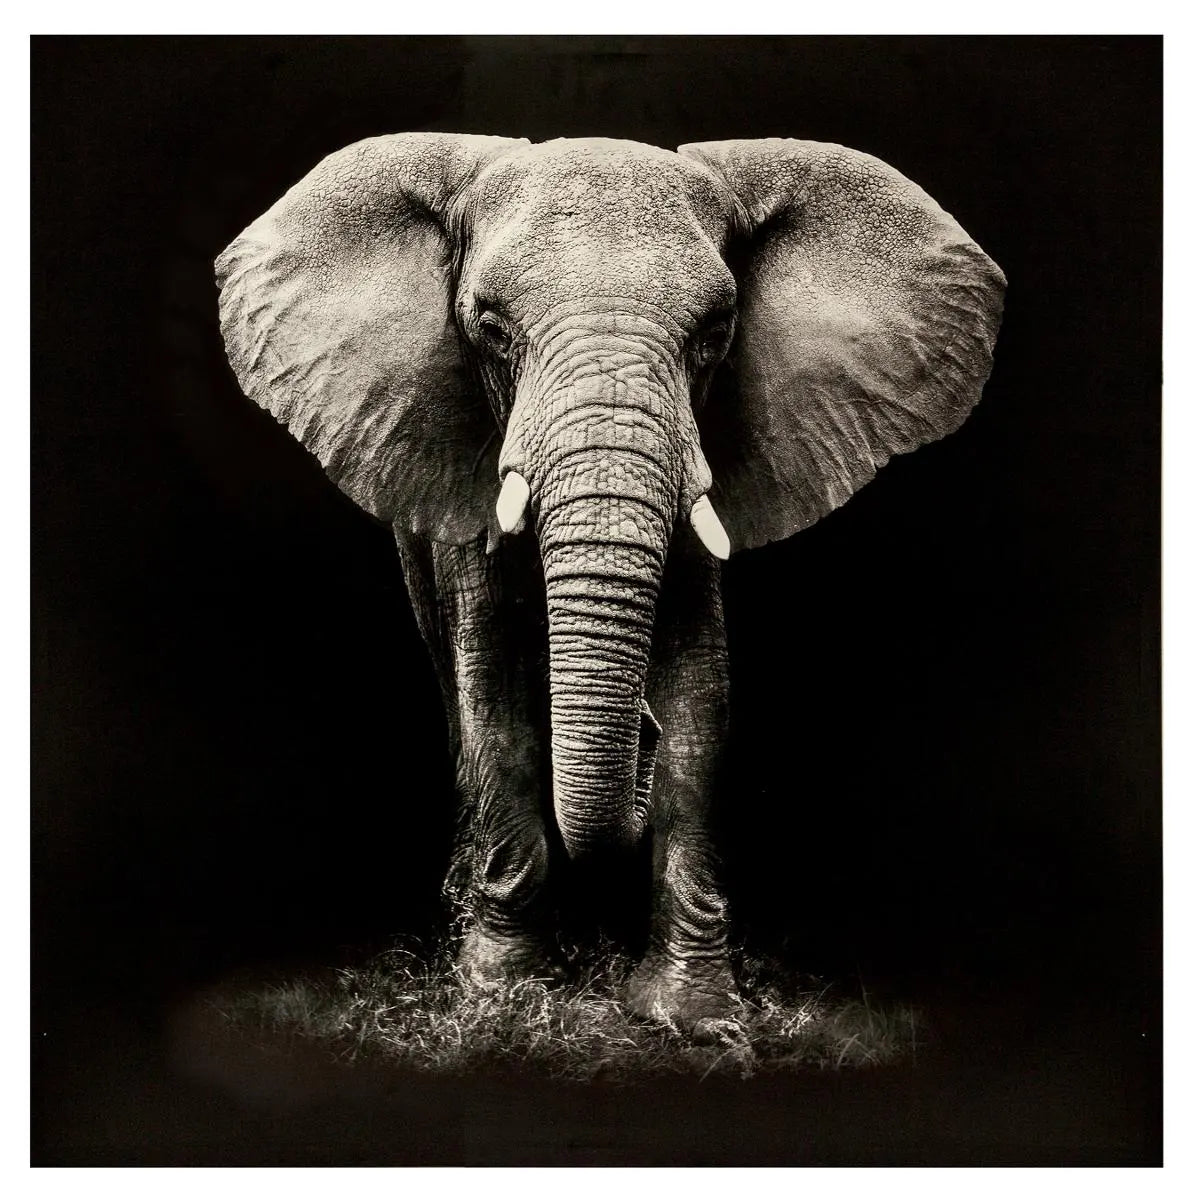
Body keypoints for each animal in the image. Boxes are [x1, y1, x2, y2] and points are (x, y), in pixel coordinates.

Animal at [215, 133, 1005, 1037]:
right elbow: (494, 696)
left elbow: (702, 700)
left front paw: (692, 1014)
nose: (640, 739)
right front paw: (504, 997)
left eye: (715, 333)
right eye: (490, 329)